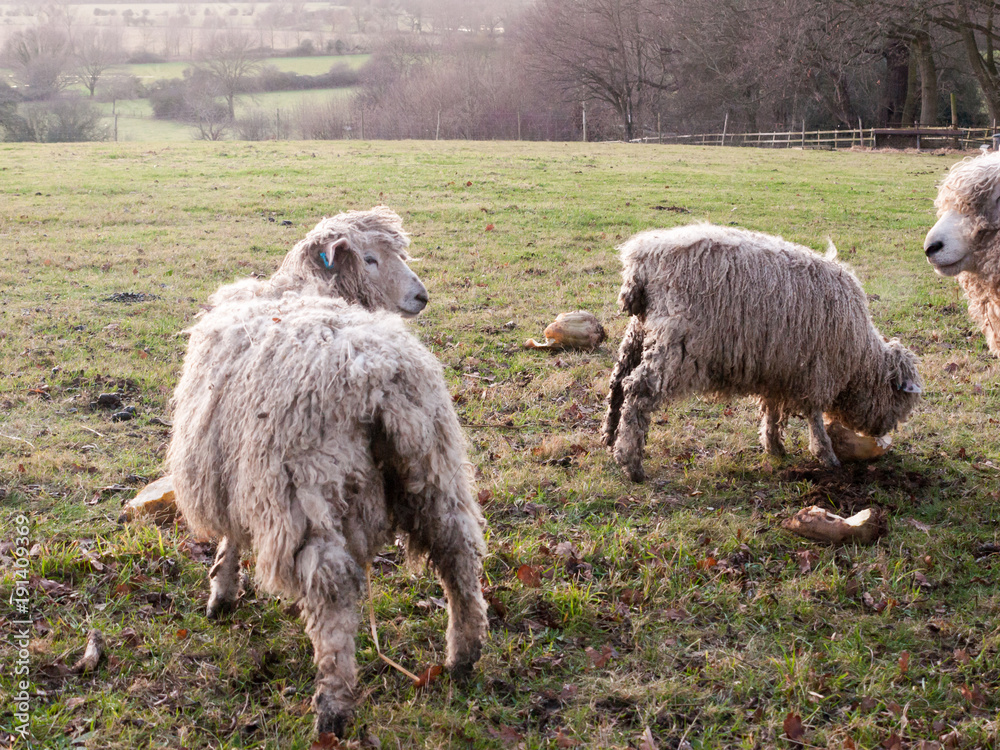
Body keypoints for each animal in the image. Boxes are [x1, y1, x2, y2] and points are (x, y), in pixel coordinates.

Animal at [167, 290, 488, 736]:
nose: (419, 297)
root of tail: (379, 376)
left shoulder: (240, 476)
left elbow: (230, 538)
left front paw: (222, 592)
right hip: (434, 470)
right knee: (458, 553)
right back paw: (464, 654)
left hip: (308, 489)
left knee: (331, 590)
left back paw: (333, 706)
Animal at [601, 224, 922, 482]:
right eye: (898, 398)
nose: (884, 431)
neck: (860, 359)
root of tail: (642, 260)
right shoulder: (817, 372)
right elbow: (814, 419)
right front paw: (826, 456)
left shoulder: (778, 368)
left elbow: (772, 411)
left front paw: (774, 447)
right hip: (678, 342)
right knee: (638, 391)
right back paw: (631, 463)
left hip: (640, 331)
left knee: (618, 381)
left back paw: (609, 438)